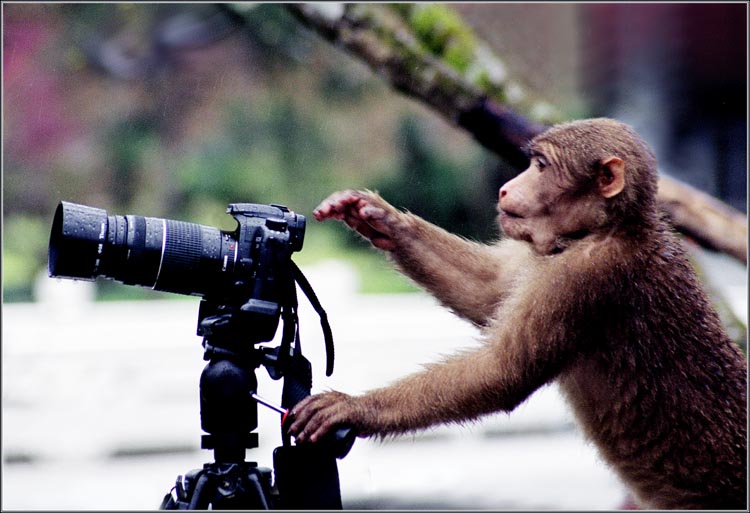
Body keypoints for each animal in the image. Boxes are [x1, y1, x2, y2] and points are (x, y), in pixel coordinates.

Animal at [286, 118, 748, 509]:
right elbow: (489, 293)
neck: (607, 229)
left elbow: (503, 372)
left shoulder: (585, 278)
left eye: (540, 166)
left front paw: (356, 409)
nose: (507, 188)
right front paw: (380, 219)